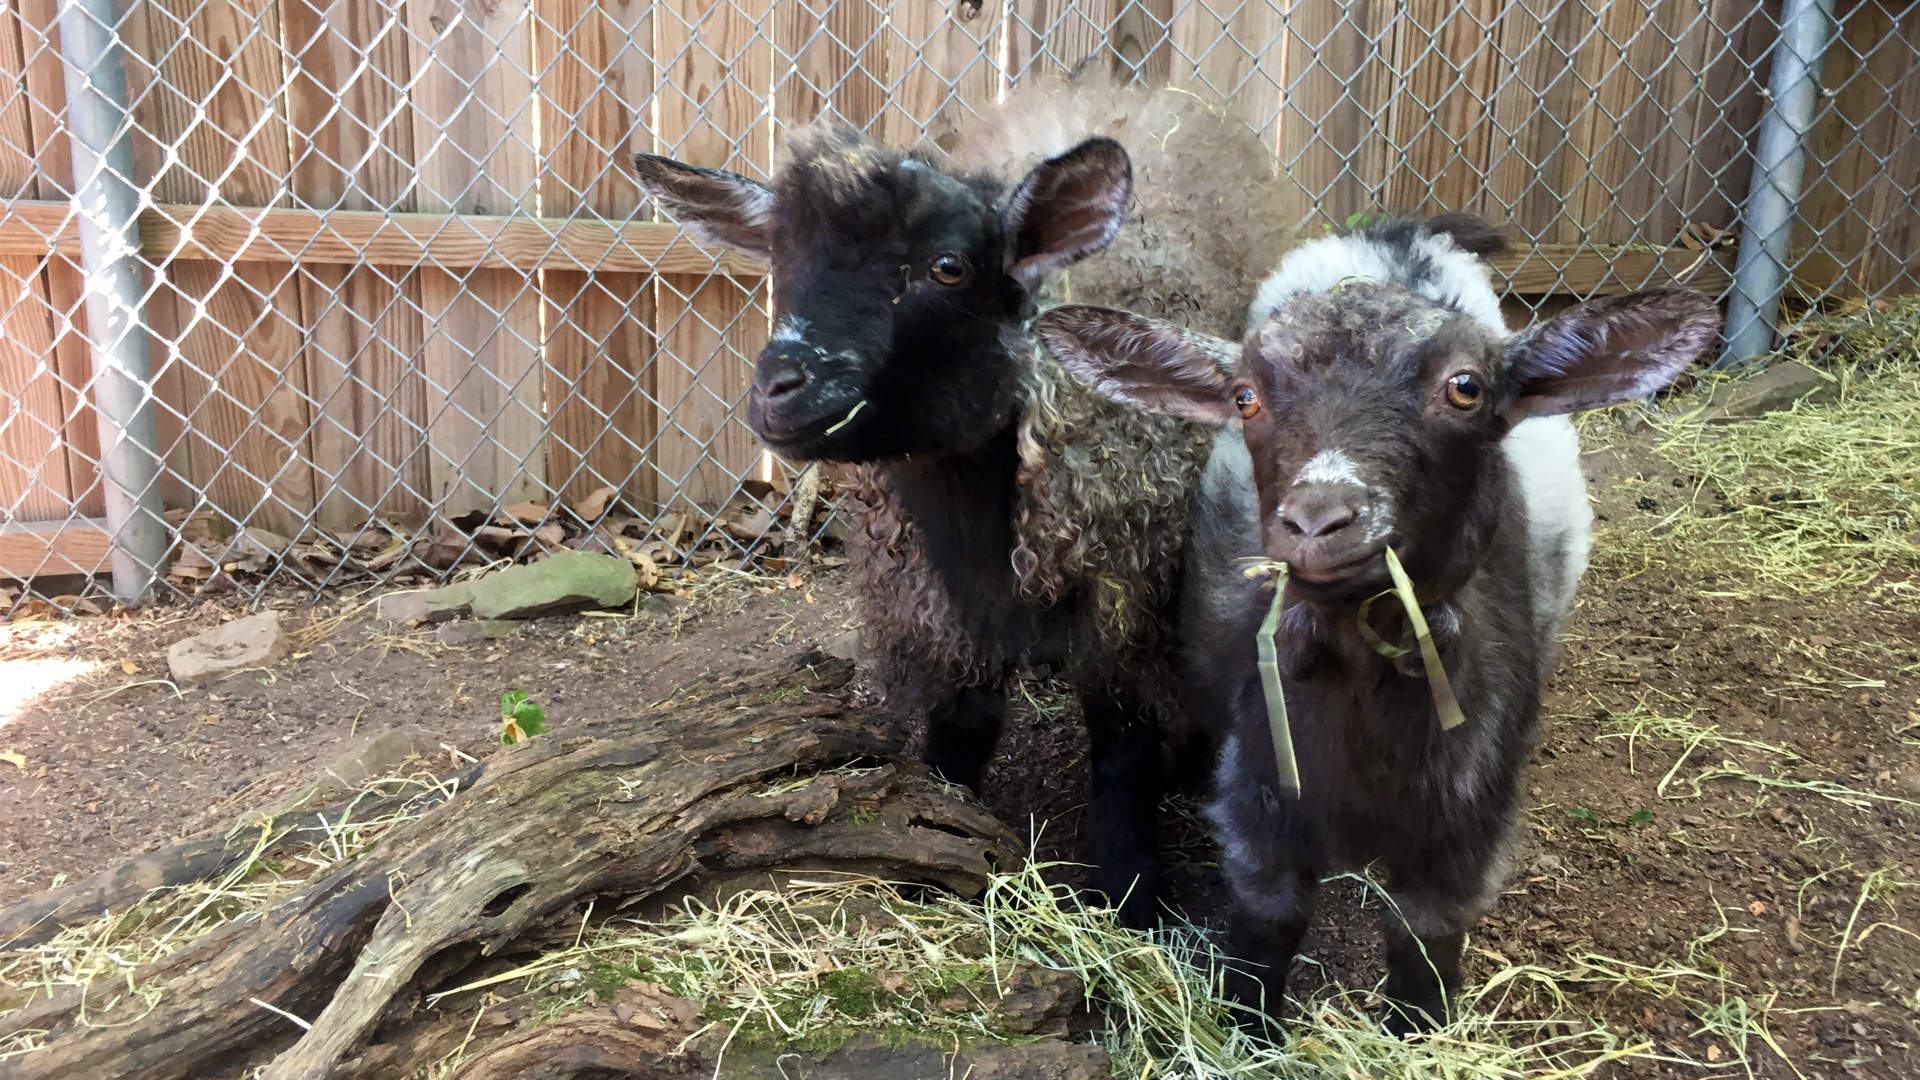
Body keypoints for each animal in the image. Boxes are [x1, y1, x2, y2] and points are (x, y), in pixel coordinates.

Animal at [629, 79, 1290, 922]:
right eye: (780, 257)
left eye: (948, 267)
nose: (780, 391)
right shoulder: (937, 609)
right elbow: (959, 732)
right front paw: (932, 841)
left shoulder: (1126, 604)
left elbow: (1124, 754)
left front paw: (1134, 893)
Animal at [1044, 216, 1720, 1022]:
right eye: (1244, 396)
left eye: (1465, 387)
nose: (1317, 521)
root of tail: (1400, 232)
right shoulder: (1260, 803)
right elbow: (1265, 937)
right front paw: (1249, 1029)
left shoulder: (1466, 832)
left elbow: (1424, 957)